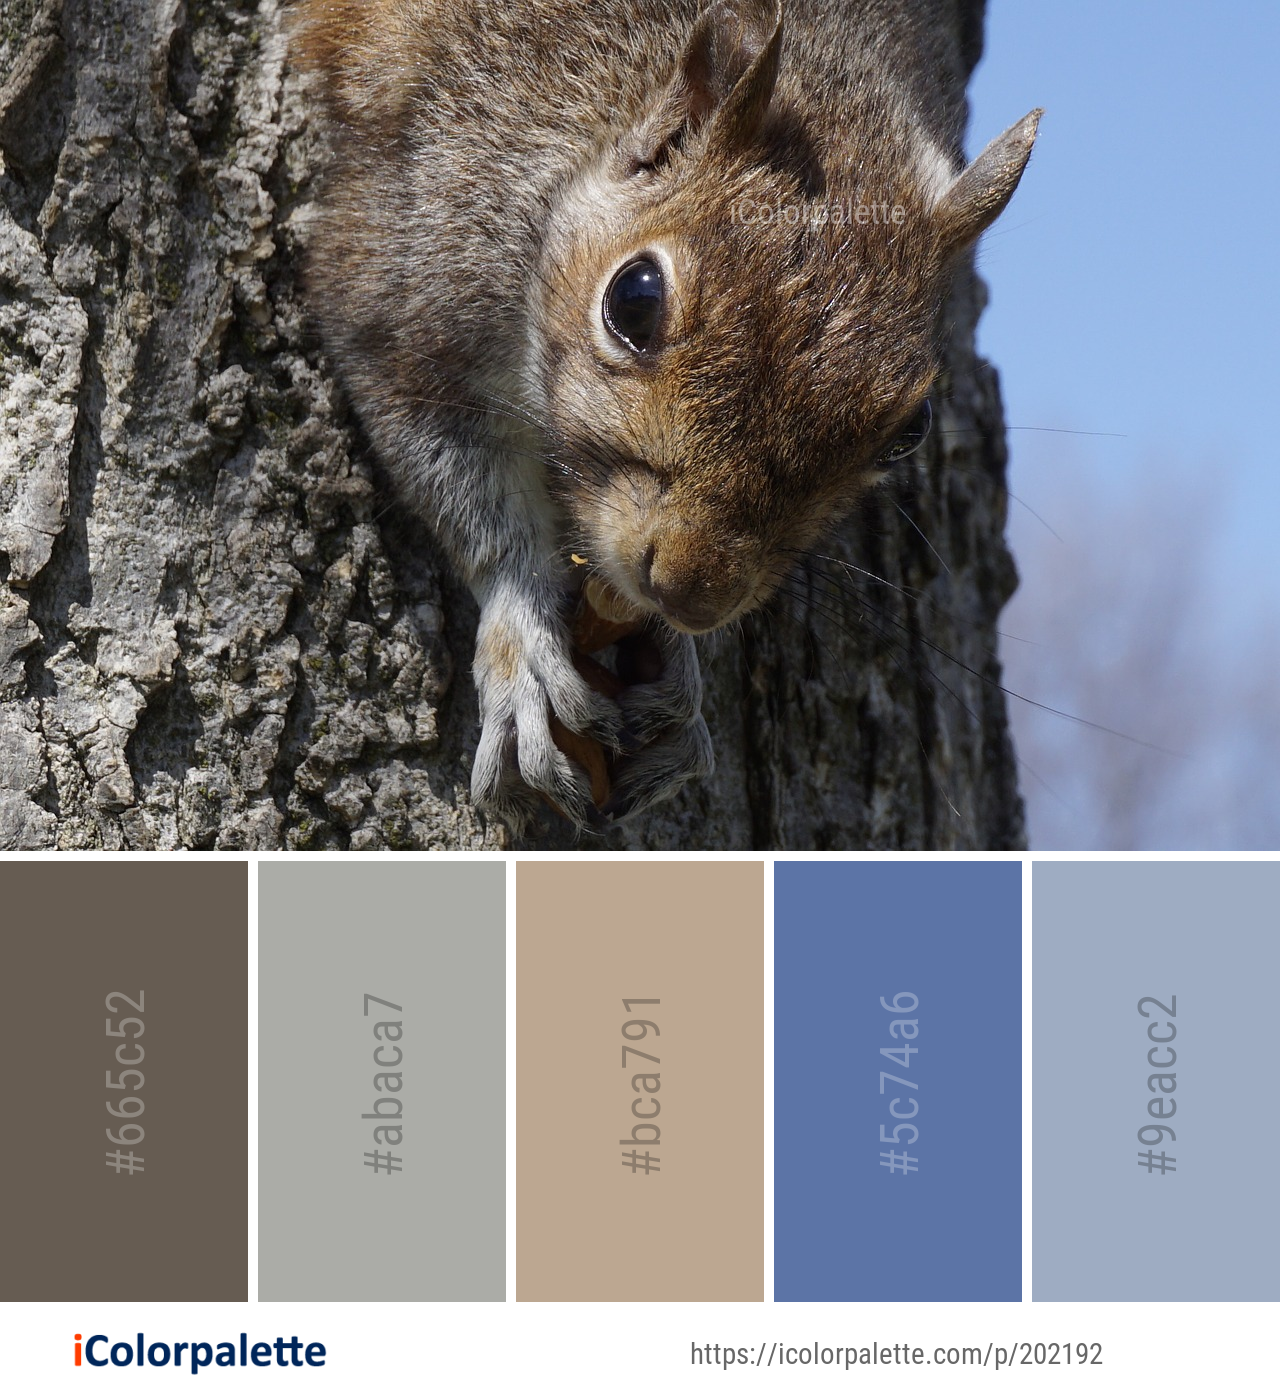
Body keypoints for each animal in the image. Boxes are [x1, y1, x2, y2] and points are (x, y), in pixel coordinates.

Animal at [290, 0, 1040, 833]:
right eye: (634, 299)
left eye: (913, 429)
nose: (691, 592)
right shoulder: (407, 254)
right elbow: (449, 465)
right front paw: (527, 645)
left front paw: (679, 669)